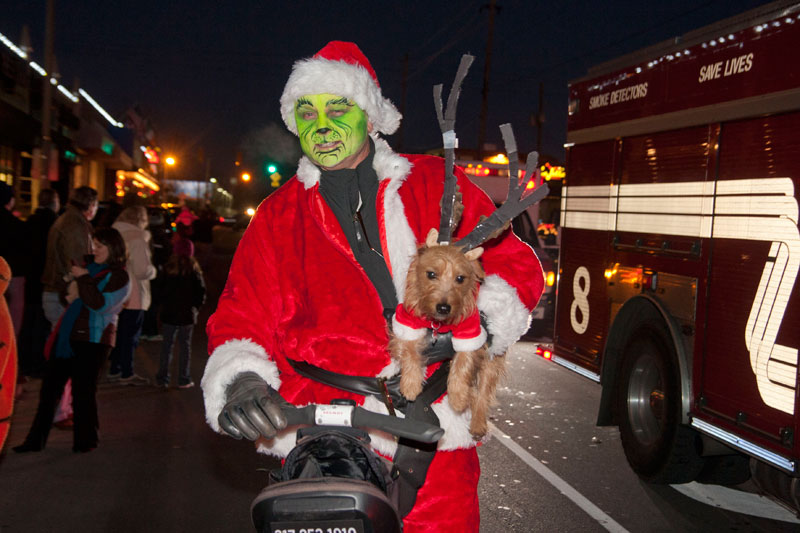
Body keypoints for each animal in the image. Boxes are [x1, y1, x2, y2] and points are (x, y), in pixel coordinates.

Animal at [390, 227, 506, 438]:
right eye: (431, 274)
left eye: (460, 278)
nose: (444, 308)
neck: (439, 324)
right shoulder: (407, 321)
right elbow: (410, 352)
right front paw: (410, 384)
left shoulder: (471, 330)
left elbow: (463, 362)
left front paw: (458, 396)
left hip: (492, 360)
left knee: (483, 392)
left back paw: (478, 423)